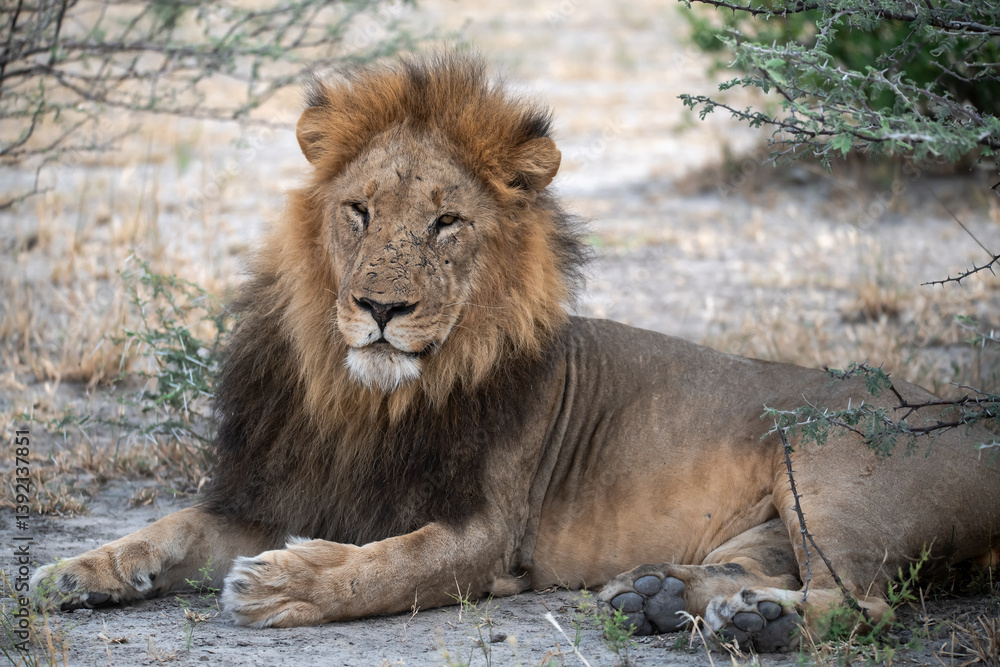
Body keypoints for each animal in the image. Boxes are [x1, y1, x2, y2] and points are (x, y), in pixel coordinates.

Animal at [32, 54, 1000, 651]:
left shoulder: (488, 534)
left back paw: (756, 624)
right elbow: (167, 528)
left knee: (866, 602)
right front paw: (71, 572)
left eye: (446, 222)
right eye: (359, 211)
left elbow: (387, 564)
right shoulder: (281, 485)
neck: (366, 400)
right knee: (767, 571)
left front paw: (285, 584)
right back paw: (663, 597)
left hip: (827, 472)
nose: (380, 307)